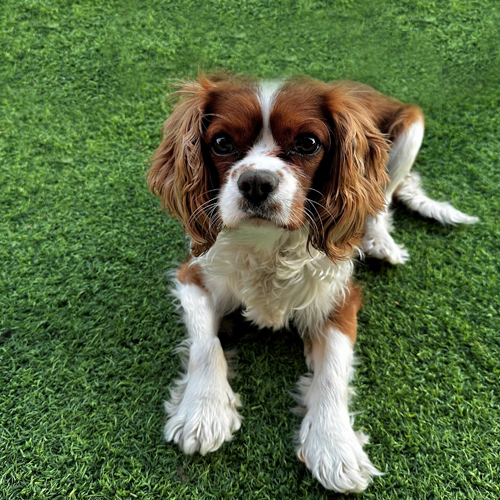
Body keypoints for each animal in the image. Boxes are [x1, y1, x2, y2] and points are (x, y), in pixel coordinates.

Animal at [147, 73, 477, 493]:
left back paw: (378, 240)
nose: (256, 183)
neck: (268, 242)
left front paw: (334, 445)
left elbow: (333, 371)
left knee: (381, 200)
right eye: (221, 143)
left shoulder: (340, 299)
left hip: (410, 132)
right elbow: (207, 345)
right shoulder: (193, 275)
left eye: (308, 143)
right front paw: (202, 412)